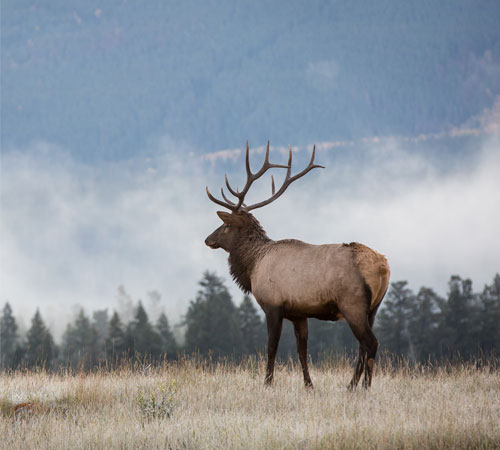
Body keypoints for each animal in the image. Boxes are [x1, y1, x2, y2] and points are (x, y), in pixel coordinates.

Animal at [204, 142, 390, 388]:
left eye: (225, 225)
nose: (208, 239)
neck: (253, 267)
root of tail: (384, 267)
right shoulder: (299, 313)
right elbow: (302, 351)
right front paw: (309, 385)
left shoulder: (273, 305)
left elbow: (271, 347)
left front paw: (267, 383)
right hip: (374, 308)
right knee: (363, 345)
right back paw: (352, 387)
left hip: (353, 304)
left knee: (371, 343)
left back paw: (362, 387)